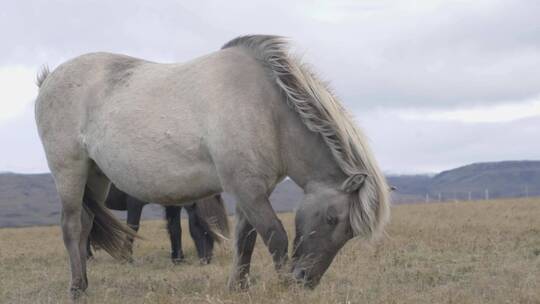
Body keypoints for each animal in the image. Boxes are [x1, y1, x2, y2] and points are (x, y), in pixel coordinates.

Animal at [88, 183, 230, 264]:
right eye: (199, 224)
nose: (207, 259)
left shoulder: (172, 206)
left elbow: (175, 229)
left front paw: (178, 259)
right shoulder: (134, 202)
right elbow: (132, 228)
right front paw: (126, 258)